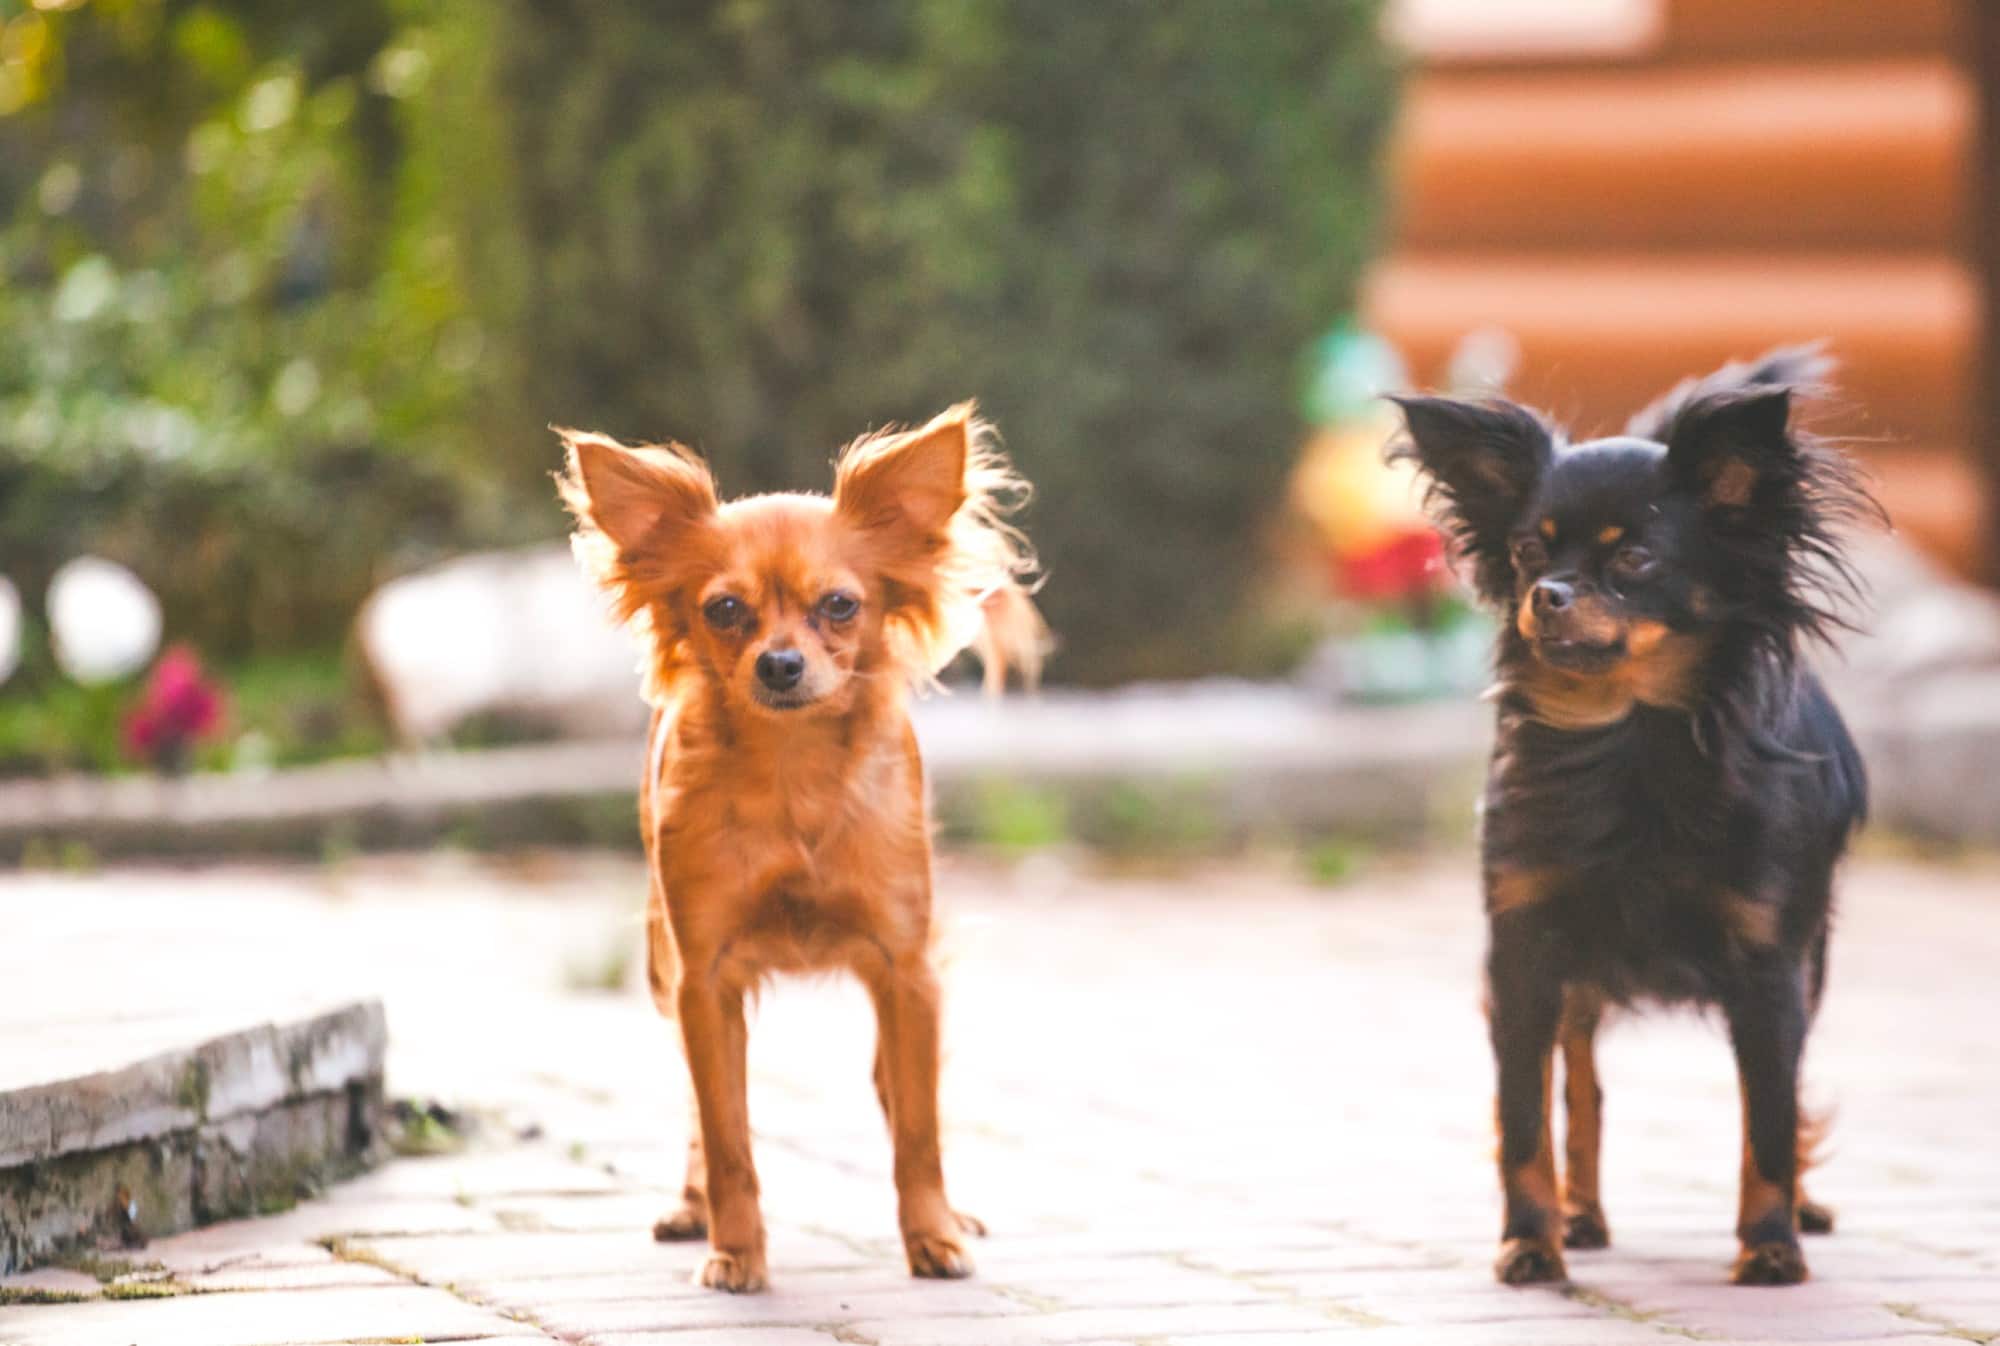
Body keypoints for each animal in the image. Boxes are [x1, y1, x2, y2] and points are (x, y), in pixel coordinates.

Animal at [556, 402, 1040, 1288]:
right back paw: (692, 1210)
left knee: (895, 1089)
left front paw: (932, 1235)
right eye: (723, 610)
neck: (794, 773)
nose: (780, 664)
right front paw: (736, 1250)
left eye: (840, 605)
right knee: (695, 1108)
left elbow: (919, 1129)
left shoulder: (907, 973)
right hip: (663, 969)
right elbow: (726, 1136)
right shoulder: (705, 983)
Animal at [1392, 350, 1872, 1288]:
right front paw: (1528, 1242)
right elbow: (1526, 1114)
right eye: (1527, 549)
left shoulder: (1770, 965)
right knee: (1580, 1084)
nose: (1548, 593)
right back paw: (1578, 1215)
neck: (1626, 738)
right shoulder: (1523, 953)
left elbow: (1769, 1109)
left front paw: (1770, 1245)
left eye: (1638, 558)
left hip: (1812, 964)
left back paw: (1798, 1208)